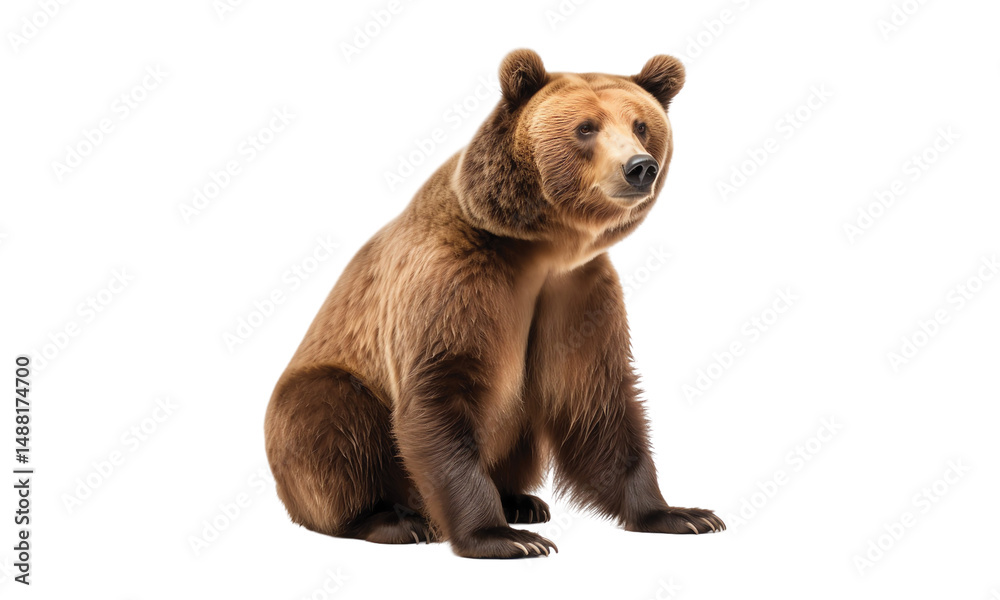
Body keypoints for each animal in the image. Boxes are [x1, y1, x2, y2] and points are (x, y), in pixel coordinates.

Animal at [264, 49, 725, 559]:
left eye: (641, 125)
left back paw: (522, 501)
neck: (542, 251)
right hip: (325, 394)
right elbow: (442, 392)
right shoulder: (455, 280)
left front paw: (682, 514)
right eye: (586, 127)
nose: (639, 167)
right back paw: (394, 519)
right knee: (332, 418)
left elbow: (596, 401)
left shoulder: (578, 292)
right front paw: (502, 537)